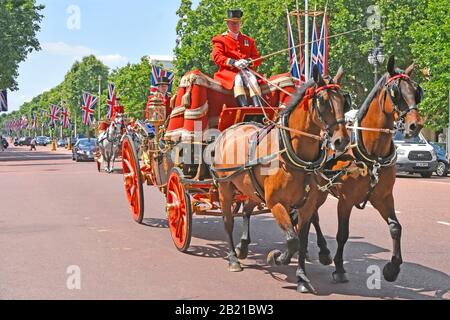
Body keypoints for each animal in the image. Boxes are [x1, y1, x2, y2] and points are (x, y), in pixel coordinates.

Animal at [212, 66, 352, 294]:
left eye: (344, 100)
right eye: (322, 101)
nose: (342, 140)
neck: (291, 152)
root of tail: (230, 129)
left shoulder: (307, 205)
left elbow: (301, 239)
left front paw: (302, 277)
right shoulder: (276, 203)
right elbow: (292, 240)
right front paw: (277, 258)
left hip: (252, 189)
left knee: (247, 209)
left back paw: (243, 246)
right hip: (225, 188)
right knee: (227, 221)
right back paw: (233, 258)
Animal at [304, 55, 424, 284]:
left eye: (416, 91)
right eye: (395, 92)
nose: (416, 125)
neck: (371, 153)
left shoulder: (383, 197)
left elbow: (396, 227)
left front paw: (392, 268)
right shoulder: (345, 199)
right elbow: (343, 234)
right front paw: (339, 268)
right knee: (312, 214)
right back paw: (321, 251)